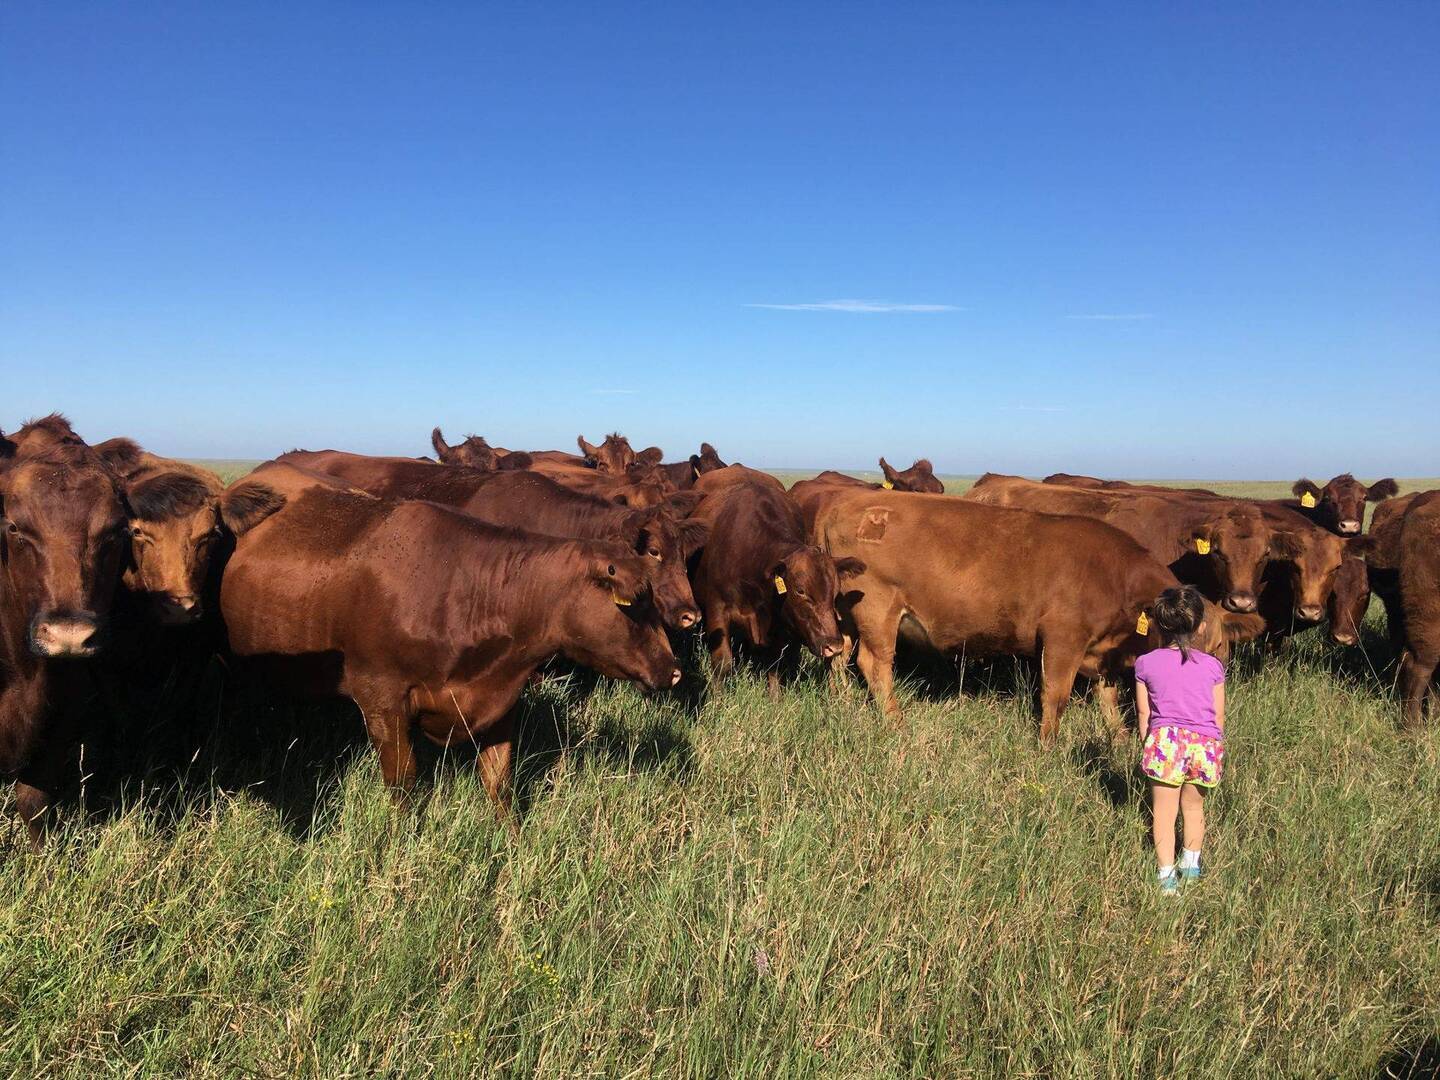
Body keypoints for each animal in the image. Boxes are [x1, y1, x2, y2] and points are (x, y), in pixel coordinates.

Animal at [219, 485, 681, 813]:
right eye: (635, 604)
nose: (674, 670)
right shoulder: (381, 699)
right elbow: (403, 785)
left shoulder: (501, 699)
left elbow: (498, 780)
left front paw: (510, 844)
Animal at [687, 465, 864, 693]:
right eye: (800, 590)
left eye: (834, 593)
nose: (833, 645)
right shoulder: (717, 610)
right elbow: (722, 663)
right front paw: (718, 698)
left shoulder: (778, 623)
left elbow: (773, 665)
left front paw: (775, 696)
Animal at [793, 483, 1257, 743]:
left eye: (1218, 645)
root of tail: (848, 499)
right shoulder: (1063, 639)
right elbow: (1055, 696)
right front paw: (1048, 746)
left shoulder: (1103, 650)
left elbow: (1107, 696)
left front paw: (1119, 737)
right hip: (878, 610)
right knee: (874, 664)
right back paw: (895, 721)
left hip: (845, 613)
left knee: (839, 654)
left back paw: (843, 702)